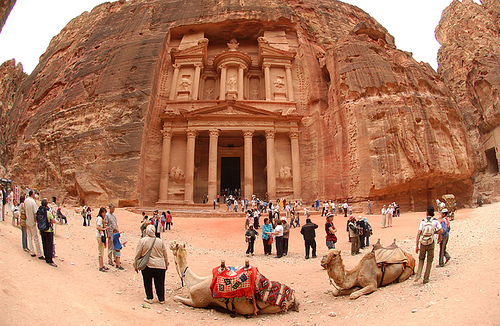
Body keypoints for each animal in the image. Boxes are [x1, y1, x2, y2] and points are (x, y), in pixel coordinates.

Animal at [170, 242, 298, 316]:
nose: (170, 245)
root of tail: (293, 296)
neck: (196, 281)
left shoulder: (199, 301)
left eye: (175, 246)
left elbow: (177, 298)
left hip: (272, 308)